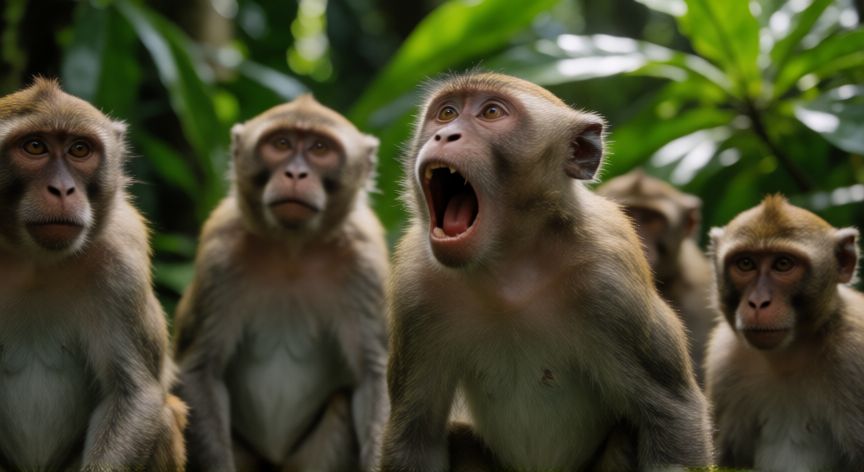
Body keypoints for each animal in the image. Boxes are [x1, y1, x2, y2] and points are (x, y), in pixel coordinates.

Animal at [0, 78, 187, 471]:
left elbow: (134, 395)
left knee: (163, 417)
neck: (32, 260)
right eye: (35, 146)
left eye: (80, 150)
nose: (62, 189)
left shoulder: (122, 258)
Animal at [173, 94, 389, 472]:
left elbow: (371, 375)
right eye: (281, 144)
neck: (293, 250)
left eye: (320, 148)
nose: (296, 173)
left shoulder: (366, 262)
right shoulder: (220, 253)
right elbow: (201, 368)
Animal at [705, 195, 864, 469]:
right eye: (745, 263)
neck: (787, 358)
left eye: (783, 264)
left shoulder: (854, 356)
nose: (758, 302)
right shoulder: (724, 361)